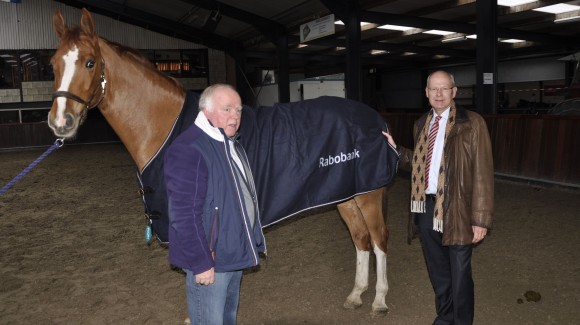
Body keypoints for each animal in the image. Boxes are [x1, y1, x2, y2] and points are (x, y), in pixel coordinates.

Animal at [49, 8, 392, 316]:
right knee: (360, 240)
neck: (166, 126)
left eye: (90, 62)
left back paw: (379, 301)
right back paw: (356, 295)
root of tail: (374, 119)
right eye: (52, 64)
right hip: (346, 196)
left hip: (368, 196)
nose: (60, 121)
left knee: (378, 241)